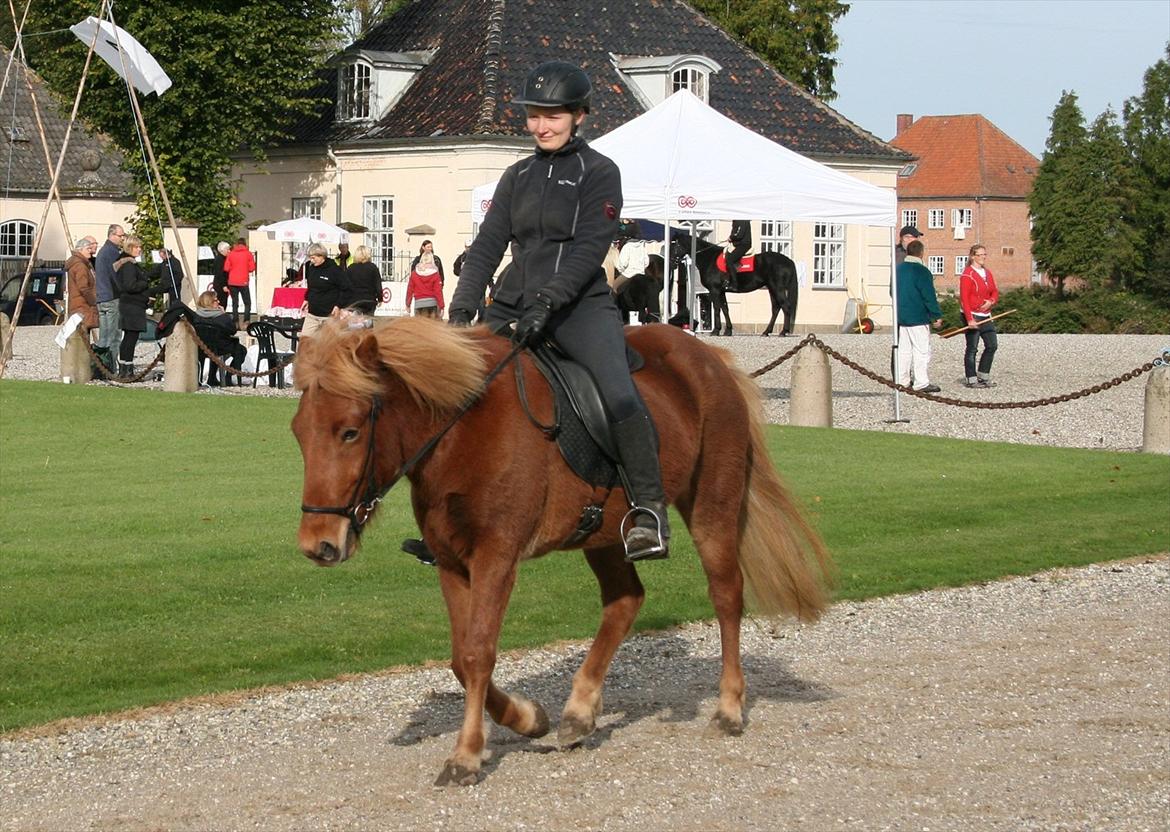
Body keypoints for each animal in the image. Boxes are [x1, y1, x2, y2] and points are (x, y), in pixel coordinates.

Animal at [299, 315, 833, 786]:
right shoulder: (451, 562)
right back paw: (579, 711)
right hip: (605, 532)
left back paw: (729, 707)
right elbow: (459, 659)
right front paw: (527, 717)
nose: (317, 544)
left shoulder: (496, 558)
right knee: (625, 600)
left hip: (711, 508)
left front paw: (466, 756)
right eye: (299, 434)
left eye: (350, 431)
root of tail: (709, 358)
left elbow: (477, 652)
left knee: (726, 595)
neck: (462, 431)